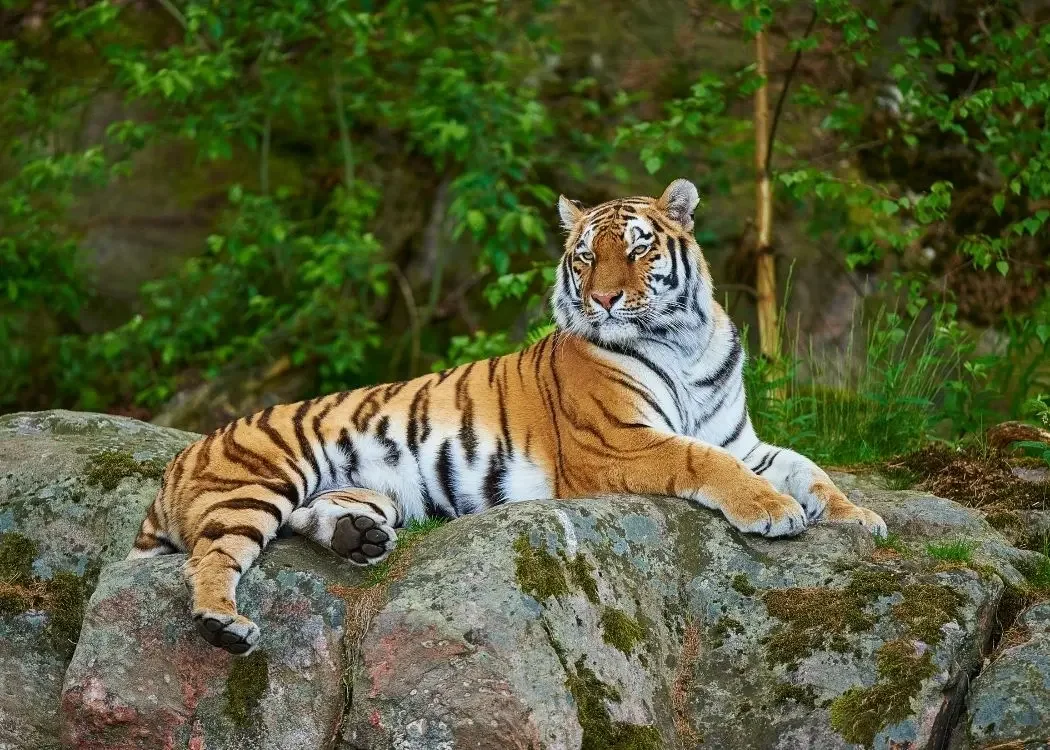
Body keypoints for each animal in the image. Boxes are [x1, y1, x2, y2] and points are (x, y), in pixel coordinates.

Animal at [128, 178, 887, 655]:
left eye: (638, 248)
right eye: (586, 256)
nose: (604, 299)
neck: (684, 339)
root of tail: (178, 462)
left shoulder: (741, 436)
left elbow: (805, 466)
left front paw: (858, 518)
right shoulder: (619, 444)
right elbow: (707, 462)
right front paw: (773, 511)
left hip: (365, 491)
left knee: (307, 521)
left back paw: (358, 540)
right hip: (256, 482)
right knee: (210, 557)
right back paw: (223, 624)